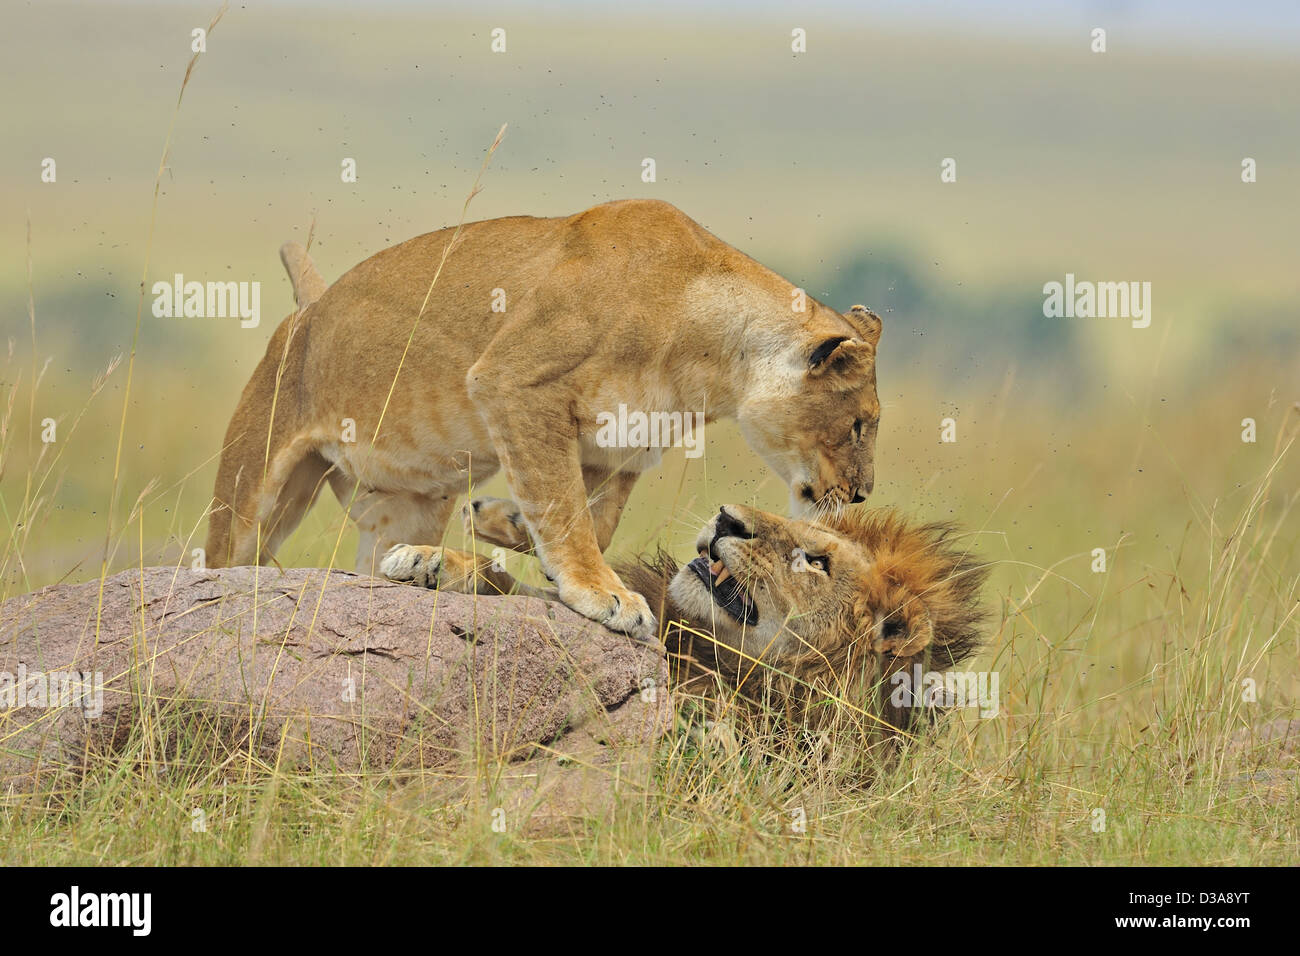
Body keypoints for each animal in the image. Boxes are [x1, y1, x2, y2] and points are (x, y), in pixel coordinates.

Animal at [206, 199, 883, 642]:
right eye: (859, 424)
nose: (861, 494)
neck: (711, 360)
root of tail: (313, 308)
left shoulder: (620, 450)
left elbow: (588, 521)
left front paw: (504, 526)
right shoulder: (514, 382)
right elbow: (564, 509)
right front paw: (603, 593)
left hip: (406, 504)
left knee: (378, 564)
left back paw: (423, 564)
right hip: (252, 493)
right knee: (228, 553)